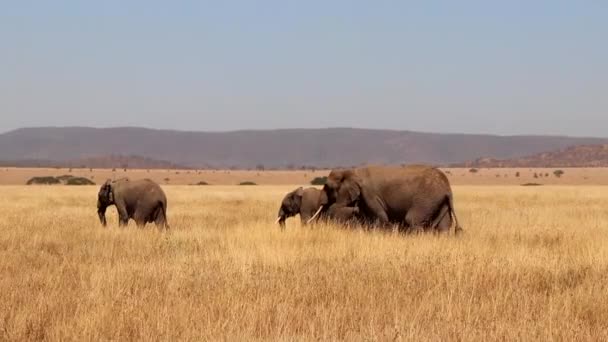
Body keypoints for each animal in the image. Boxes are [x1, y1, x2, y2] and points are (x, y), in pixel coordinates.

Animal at [308, 166, 460, 235]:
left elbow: (381, 217)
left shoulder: (369, 194)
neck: (351, 171)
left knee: (412, 219)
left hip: (426, 198)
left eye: (328, 187)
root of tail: (447, 188)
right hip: (438, 200)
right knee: (443, 226)